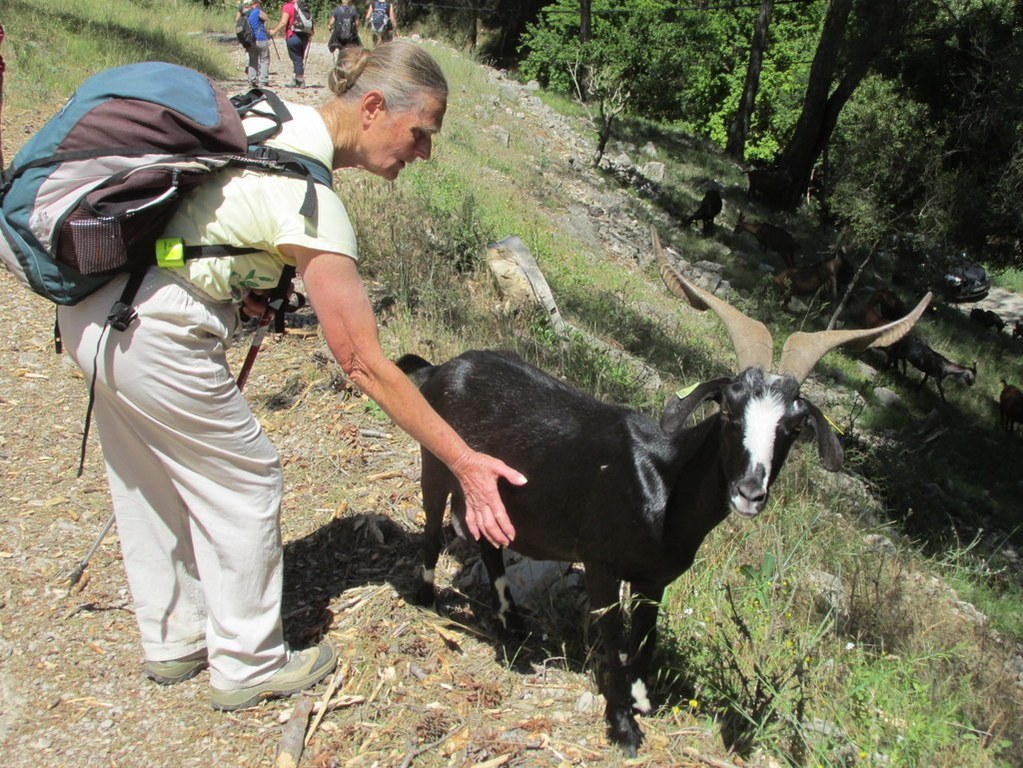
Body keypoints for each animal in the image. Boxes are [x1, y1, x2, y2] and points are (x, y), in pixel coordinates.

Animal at [394, 230, 932, 756]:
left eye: (794, 428)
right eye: (728, 409)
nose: (749, 491)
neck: (662, 484)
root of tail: (442, 368)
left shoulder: (656, 578)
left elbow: (644, 638)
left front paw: (640, 698)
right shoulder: (602, 563)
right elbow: (612, 639)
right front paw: (622, 727)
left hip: (488, 492)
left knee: (487, 540)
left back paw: (511, 621)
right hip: (436, 463)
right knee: (432, 520)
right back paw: (425, 595)